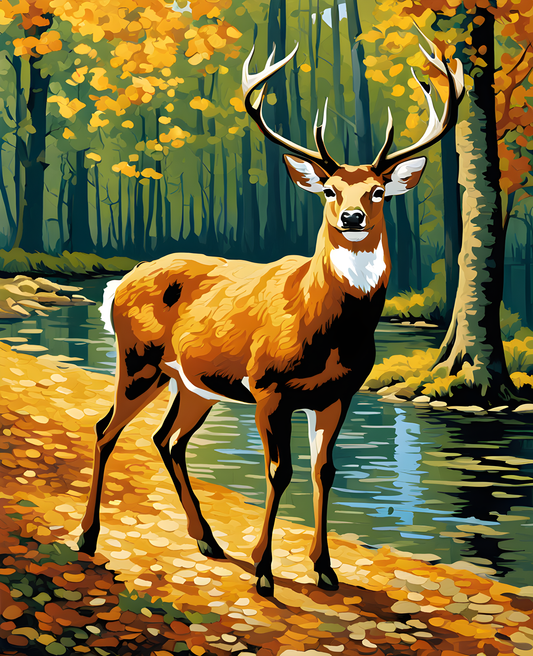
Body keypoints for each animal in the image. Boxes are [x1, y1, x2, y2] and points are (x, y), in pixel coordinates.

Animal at [77, 34, 464, 597]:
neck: (324, 327)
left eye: (376, 191)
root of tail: (118, 285)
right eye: (329, 190)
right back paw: (88, 537)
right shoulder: (267, 386)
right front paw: (264, 570)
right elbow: (280, 472)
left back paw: (208, 541)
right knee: (107, 428)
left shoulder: (338, 394)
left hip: (193, 382)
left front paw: (324, 569)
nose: (352, 218)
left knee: (167, 439)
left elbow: (325, 471)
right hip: (139, 359)